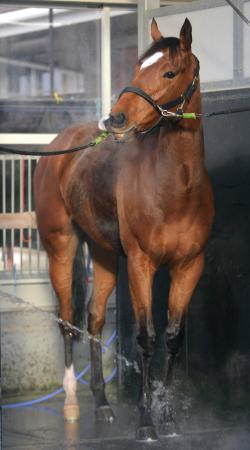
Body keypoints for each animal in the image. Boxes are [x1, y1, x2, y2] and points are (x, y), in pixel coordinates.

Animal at [34, 18, 214, 442]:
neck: (176, 186)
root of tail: (59, 146)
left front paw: (167, 417)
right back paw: (72, 404)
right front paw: (146, 421)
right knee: (68, 319)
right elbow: (146, 337)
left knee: (95, 319)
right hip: (60, 248)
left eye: (169, 72)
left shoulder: (189, 267)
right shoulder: (140, 264)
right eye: (137, 67)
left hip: (102, 254)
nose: (115, 119)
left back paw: (102, 404)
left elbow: (172, 337)